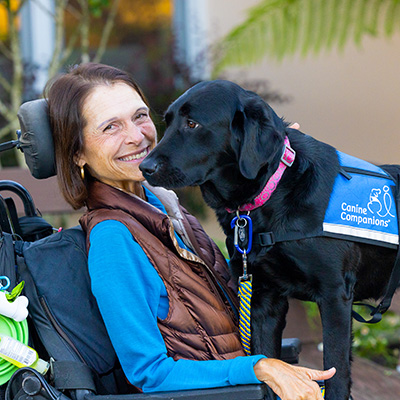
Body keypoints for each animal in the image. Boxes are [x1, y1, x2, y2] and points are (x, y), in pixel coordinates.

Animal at [139, 79, 398, 398]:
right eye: (168, 121)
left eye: (192, 123)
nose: (145, 167)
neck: (271, 190)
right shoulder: (263, 297)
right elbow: (266, 369)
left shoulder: (334, 295)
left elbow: (336, 373)